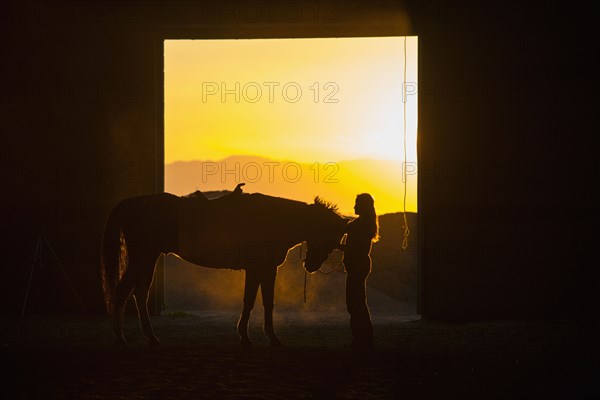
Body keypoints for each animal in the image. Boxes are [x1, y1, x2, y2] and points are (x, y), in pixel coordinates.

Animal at [101, 186, 344, 346]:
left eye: (336, 240)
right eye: (327, 236)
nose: (311, 266)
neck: (272, 219)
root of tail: (130, 204)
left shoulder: (262, 269)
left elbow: (260, 301)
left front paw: (255, 335)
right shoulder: (259, 269)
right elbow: (255, 301)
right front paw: (257, 337)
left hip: (147, 259)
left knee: (139, 294)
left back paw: (149, 336)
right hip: (143, 257)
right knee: (124, 292)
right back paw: (121, 337)